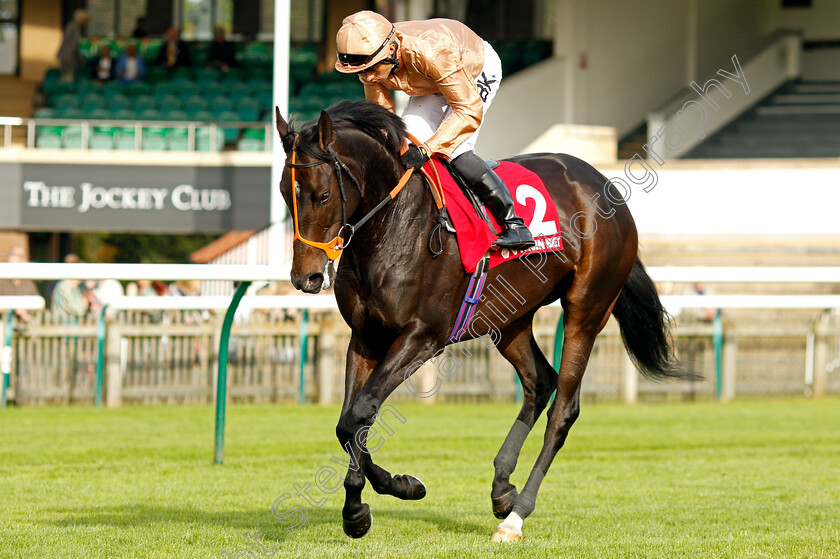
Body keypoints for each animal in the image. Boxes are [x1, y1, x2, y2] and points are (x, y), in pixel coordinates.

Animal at [276, 100, 696, 544]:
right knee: (539, 382)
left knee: (563, 409)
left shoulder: (423, 336)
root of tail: (601, 181)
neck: (394, 226)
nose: (305, 278)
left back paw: (516, 517)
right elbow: (350, 422)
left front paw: (387, 491)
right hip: (510, 318)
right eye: (286, 194)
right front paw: (370, 503)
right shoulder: (366, 336)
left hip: (587, 308)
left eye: (322, 195)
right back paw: (502, 488)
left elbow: (360, 413)